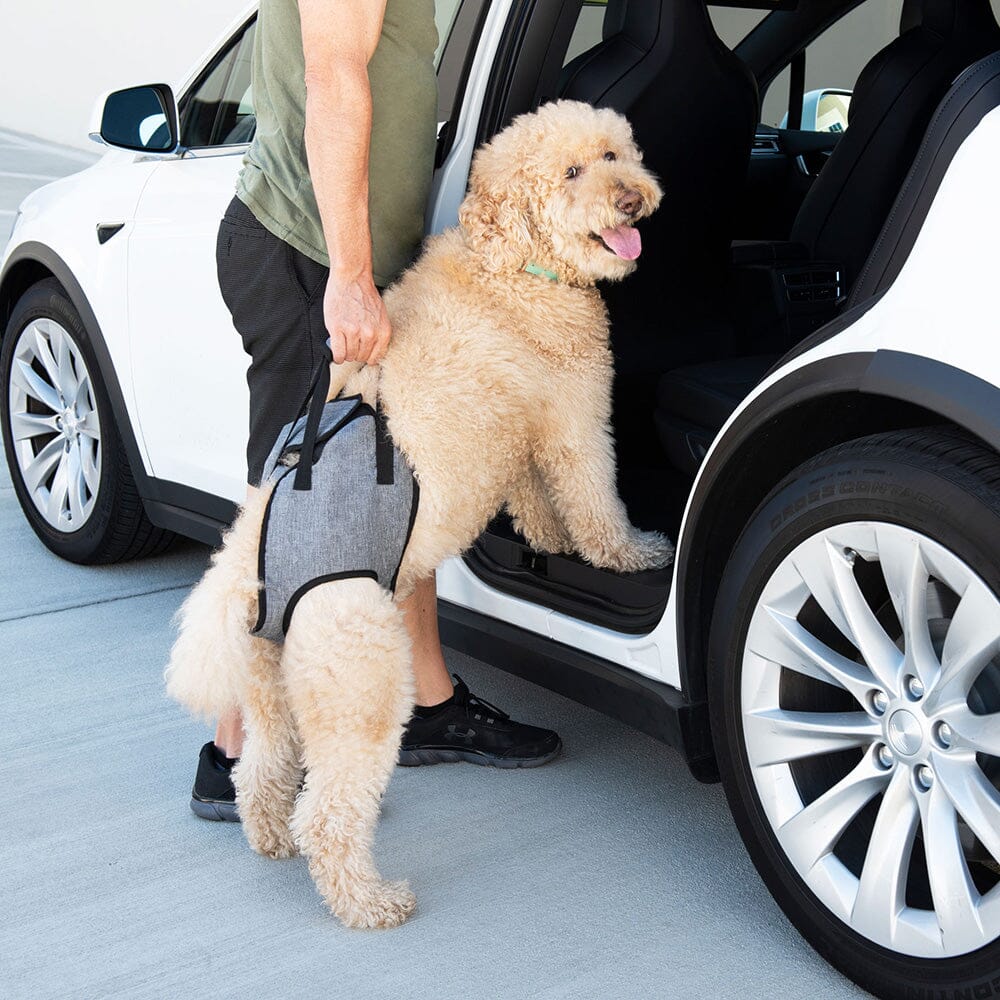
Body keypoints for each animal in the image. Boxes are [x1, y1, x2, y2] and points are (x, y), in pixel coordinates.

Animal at [166, 101, 672, 928]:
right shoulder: (572, 417)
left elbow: (537, 502)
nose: (631, 198)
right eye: (571, 172)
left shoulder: (521, 435)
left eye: (612, 153)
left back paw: (269, 838)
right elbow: (594, 499)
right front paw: (629, 553)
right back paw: (368, 902)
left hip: (275, 692)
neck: (514, 265)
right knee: (329, 812)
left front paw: (547, 543)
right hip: (361, 682)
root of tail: (248, 568)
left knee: (262, 773)